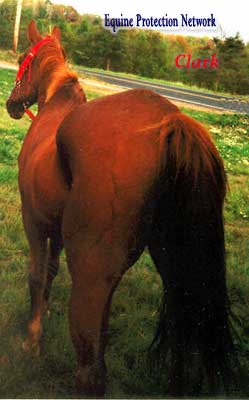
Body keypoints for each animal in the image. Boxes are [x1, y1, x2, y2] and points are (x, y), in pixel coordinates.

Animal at [6, 21, 234, 396]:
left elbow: (36, 276)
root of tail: (171, 120)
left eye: (24, 56)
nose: (11, 105)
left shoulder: (34, 221)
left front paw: (32, 340)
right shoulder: (56, 229)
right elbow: (50, 271)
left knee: (90, 370)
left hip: (90, 276)